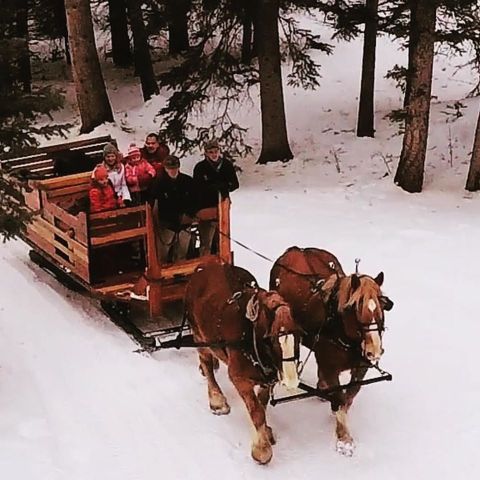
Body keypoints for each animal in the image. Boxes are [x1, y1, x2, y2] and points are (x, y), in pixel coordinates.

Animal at [186, 262, 302, 464]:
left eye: (299, 336)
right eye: (272, 339)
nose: (291, 382)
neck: (250, 333)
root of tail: (202, 268)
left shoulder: (267, 380)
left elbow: (262, 405)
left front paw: (266, 433)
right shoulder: (239, 378)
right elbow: (256, 411)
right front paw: (261, 450)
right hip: (200, 337)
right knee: (207, 366)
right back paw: (217, 400)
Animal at [270, 248, 394, 458]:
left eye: (382, 306)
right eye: (355, 307)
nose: (374, 351)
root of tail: (296, 249)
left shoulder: (360, 367)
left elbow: (350, 395)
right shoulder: (330, 367)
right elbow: (339, 397)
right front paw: (344, 439)